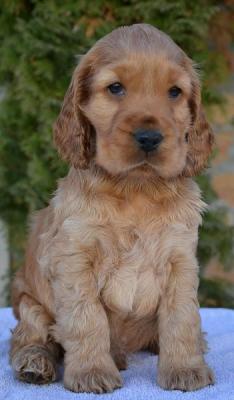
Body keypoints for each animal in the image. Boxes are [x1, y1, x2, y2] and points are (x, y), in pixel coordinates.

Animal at [11, 24, 216, 394]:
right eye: (115, 88)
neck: (135, 188)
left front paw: (185, 369)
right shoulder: (74, 259)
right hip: (27, 301)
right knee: (28, 336)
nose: (149, 137)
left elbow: (182, 318)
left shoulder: (180, 258)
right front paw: (91, 372)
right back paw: (36, 362)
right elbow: (86, 318)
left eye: (175, 92)